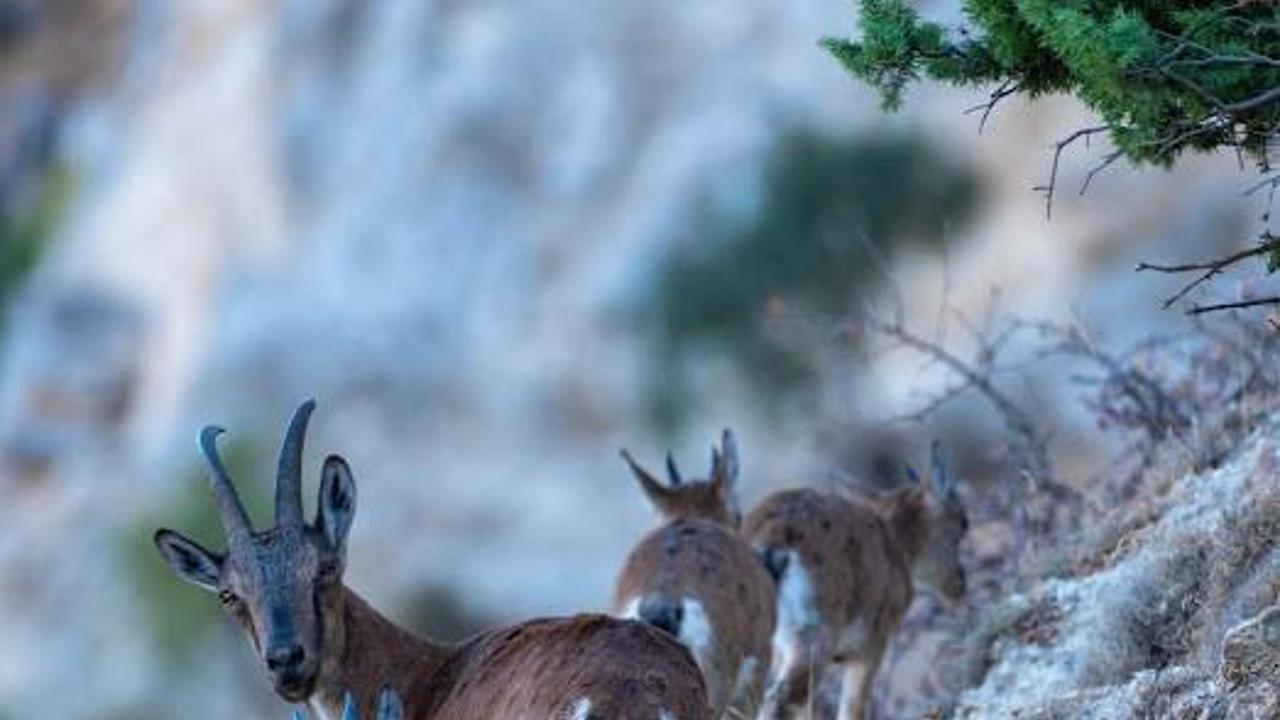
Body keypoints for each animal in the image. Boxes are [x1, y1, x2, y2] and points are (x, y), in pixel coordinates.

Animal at [747, 443, 962, 717]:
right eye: (962, 525)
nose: (959, 585)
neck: (895, 543)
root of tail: (771, 538)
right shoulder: (871, 646)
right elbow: (853, 707)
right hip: (812, 636)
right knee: (782, 700)